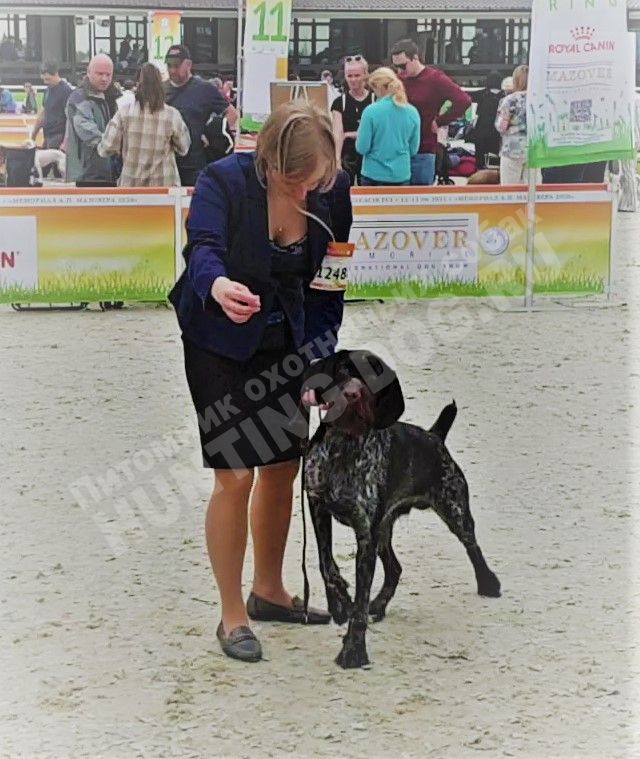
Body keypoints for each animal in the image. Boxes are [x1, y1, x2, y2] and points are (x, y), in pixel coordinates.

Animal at [302, 350, 501, 669]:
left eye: (375, 375)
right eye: (344, 368)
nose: (353, 394)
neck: (342, 446)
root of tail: (435, 435)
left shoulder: (365, 535)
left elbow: (358, 607)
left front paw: (353, 650)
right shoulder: (317, 506)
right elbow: (327, 565)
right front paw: (340, 603)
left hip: (453, 508)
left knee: (472, 546)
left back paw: (488, 583)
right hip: (384, 530)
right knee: (395, 568)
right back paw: (379, 604)